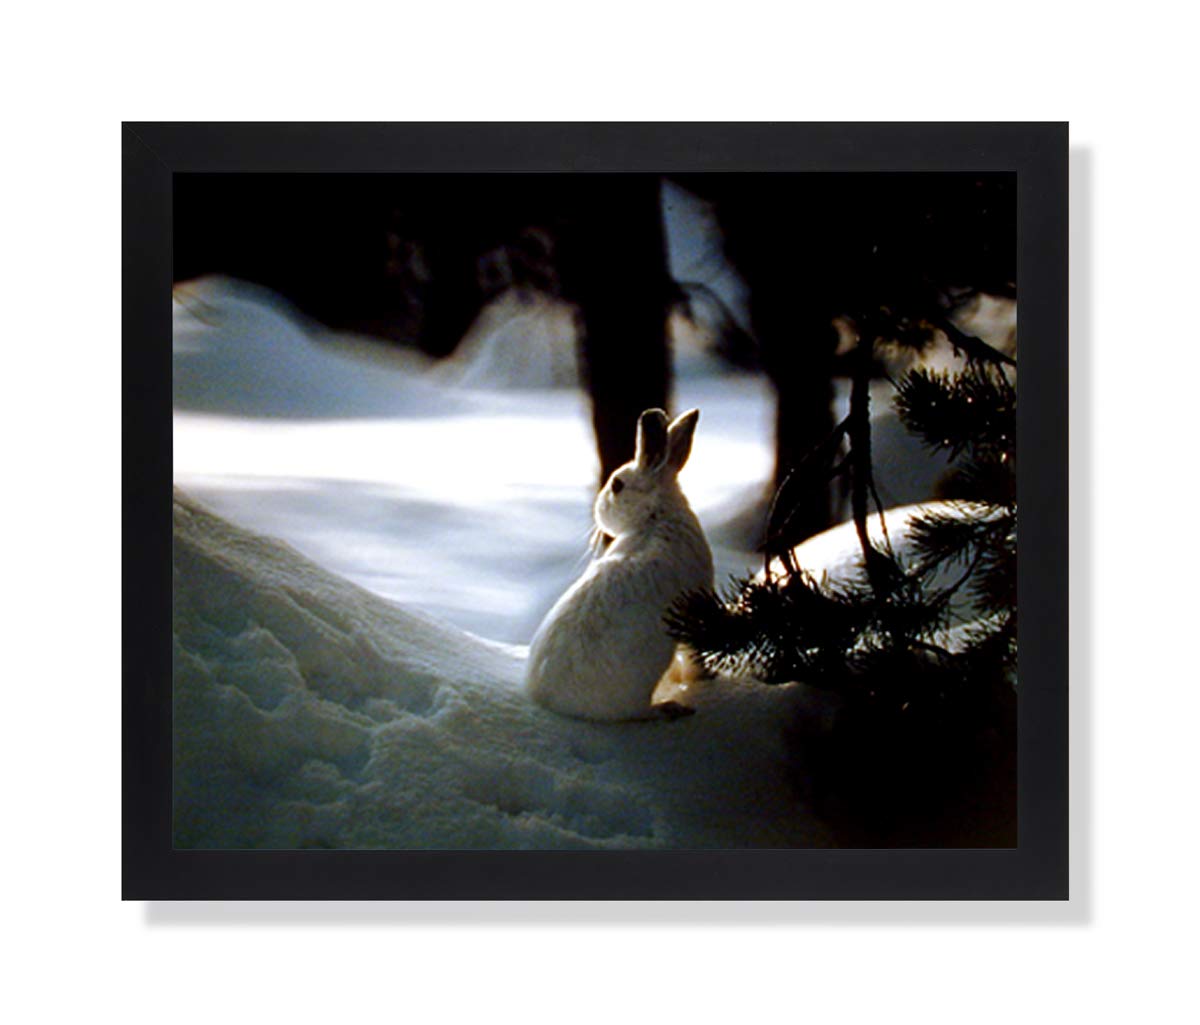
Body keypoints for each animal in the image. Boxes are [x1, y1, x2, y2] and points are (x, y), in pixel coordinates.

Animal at [525, 408, 714, 721]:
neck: (654, 517)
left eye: (616, 485)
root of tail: (556, 705)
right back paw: (671, 707)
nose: (598, 511)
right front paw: (704, 679)